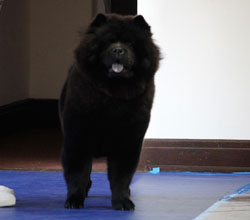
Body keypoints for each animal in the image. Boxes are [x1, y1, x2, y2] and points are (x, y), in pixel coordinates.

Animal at [59, 13, 159, 210]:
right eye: (108, 42)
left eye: (130, 43)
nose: (118, 50)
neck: (113, 95)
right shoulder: (77, 138)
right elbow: (77, 173)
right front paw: (74, 199)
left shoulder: (128, 141)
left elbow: (121, 177)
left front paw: (122, 201)